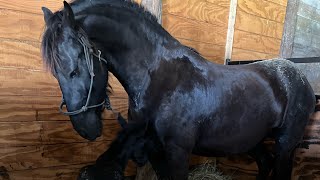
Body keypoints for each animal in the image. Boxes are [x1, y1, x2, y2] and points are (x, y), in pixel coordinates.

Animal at [42, 0, 316, 179]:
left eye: (76, 65)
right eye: (55, 72)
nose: (85, 129)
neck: (160, 80)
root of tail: (300, 78)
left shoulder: (178, 153)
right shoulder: (153, 150)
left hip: (285, 144)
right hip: (254, 140)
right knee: (264, 164)